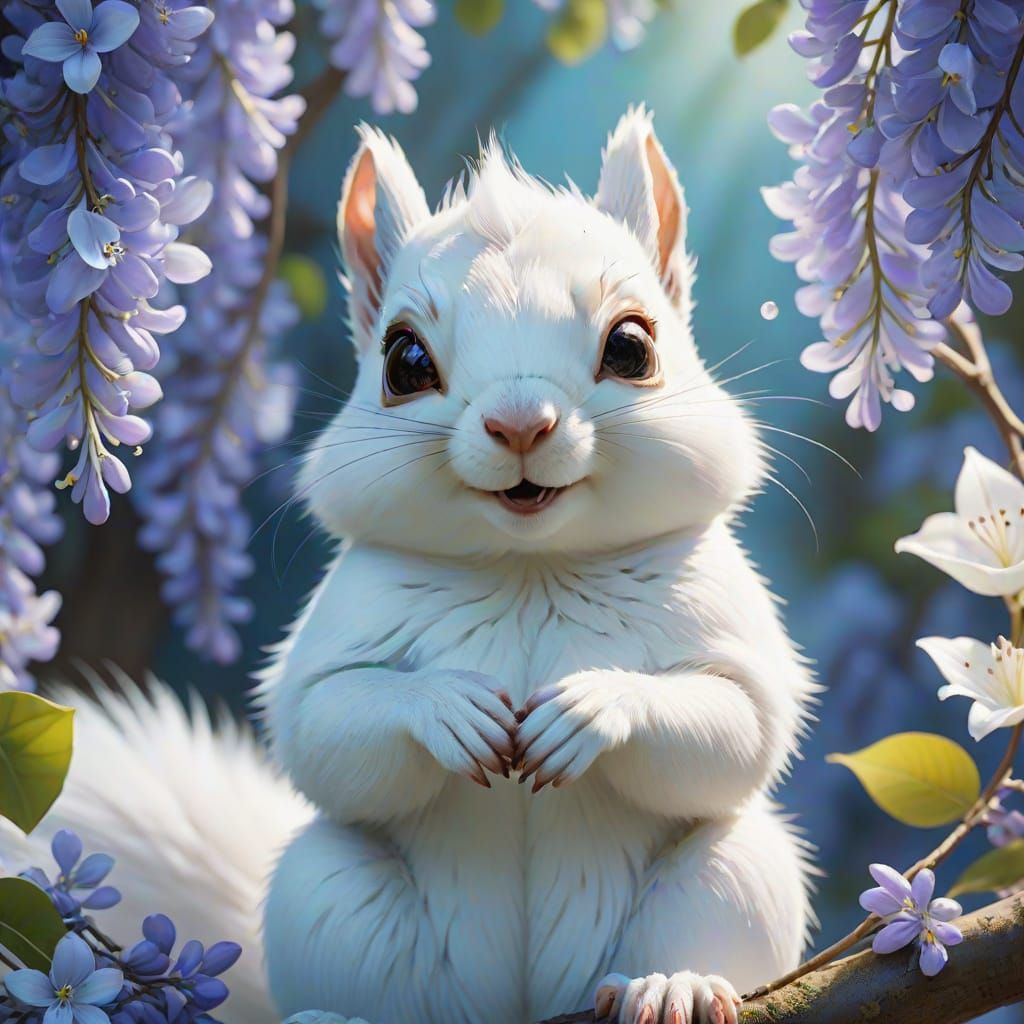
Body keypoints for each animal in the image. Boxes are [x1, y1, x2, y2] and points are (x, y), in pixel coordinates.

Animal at [0, 108, 816, 1024]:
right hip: (329, 895)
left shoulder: (718, 607)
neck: (528, 566)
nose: (521, 422)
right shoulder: (345, 620)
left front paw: (592, 706)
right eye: (405, 362)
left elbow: (739, 721)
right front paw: (447, 707)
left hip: (736, 879)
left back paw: (673, 983)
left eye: (633, 347)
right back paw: (339, 1014)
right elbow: (323, 724)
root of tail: (519, 1005)